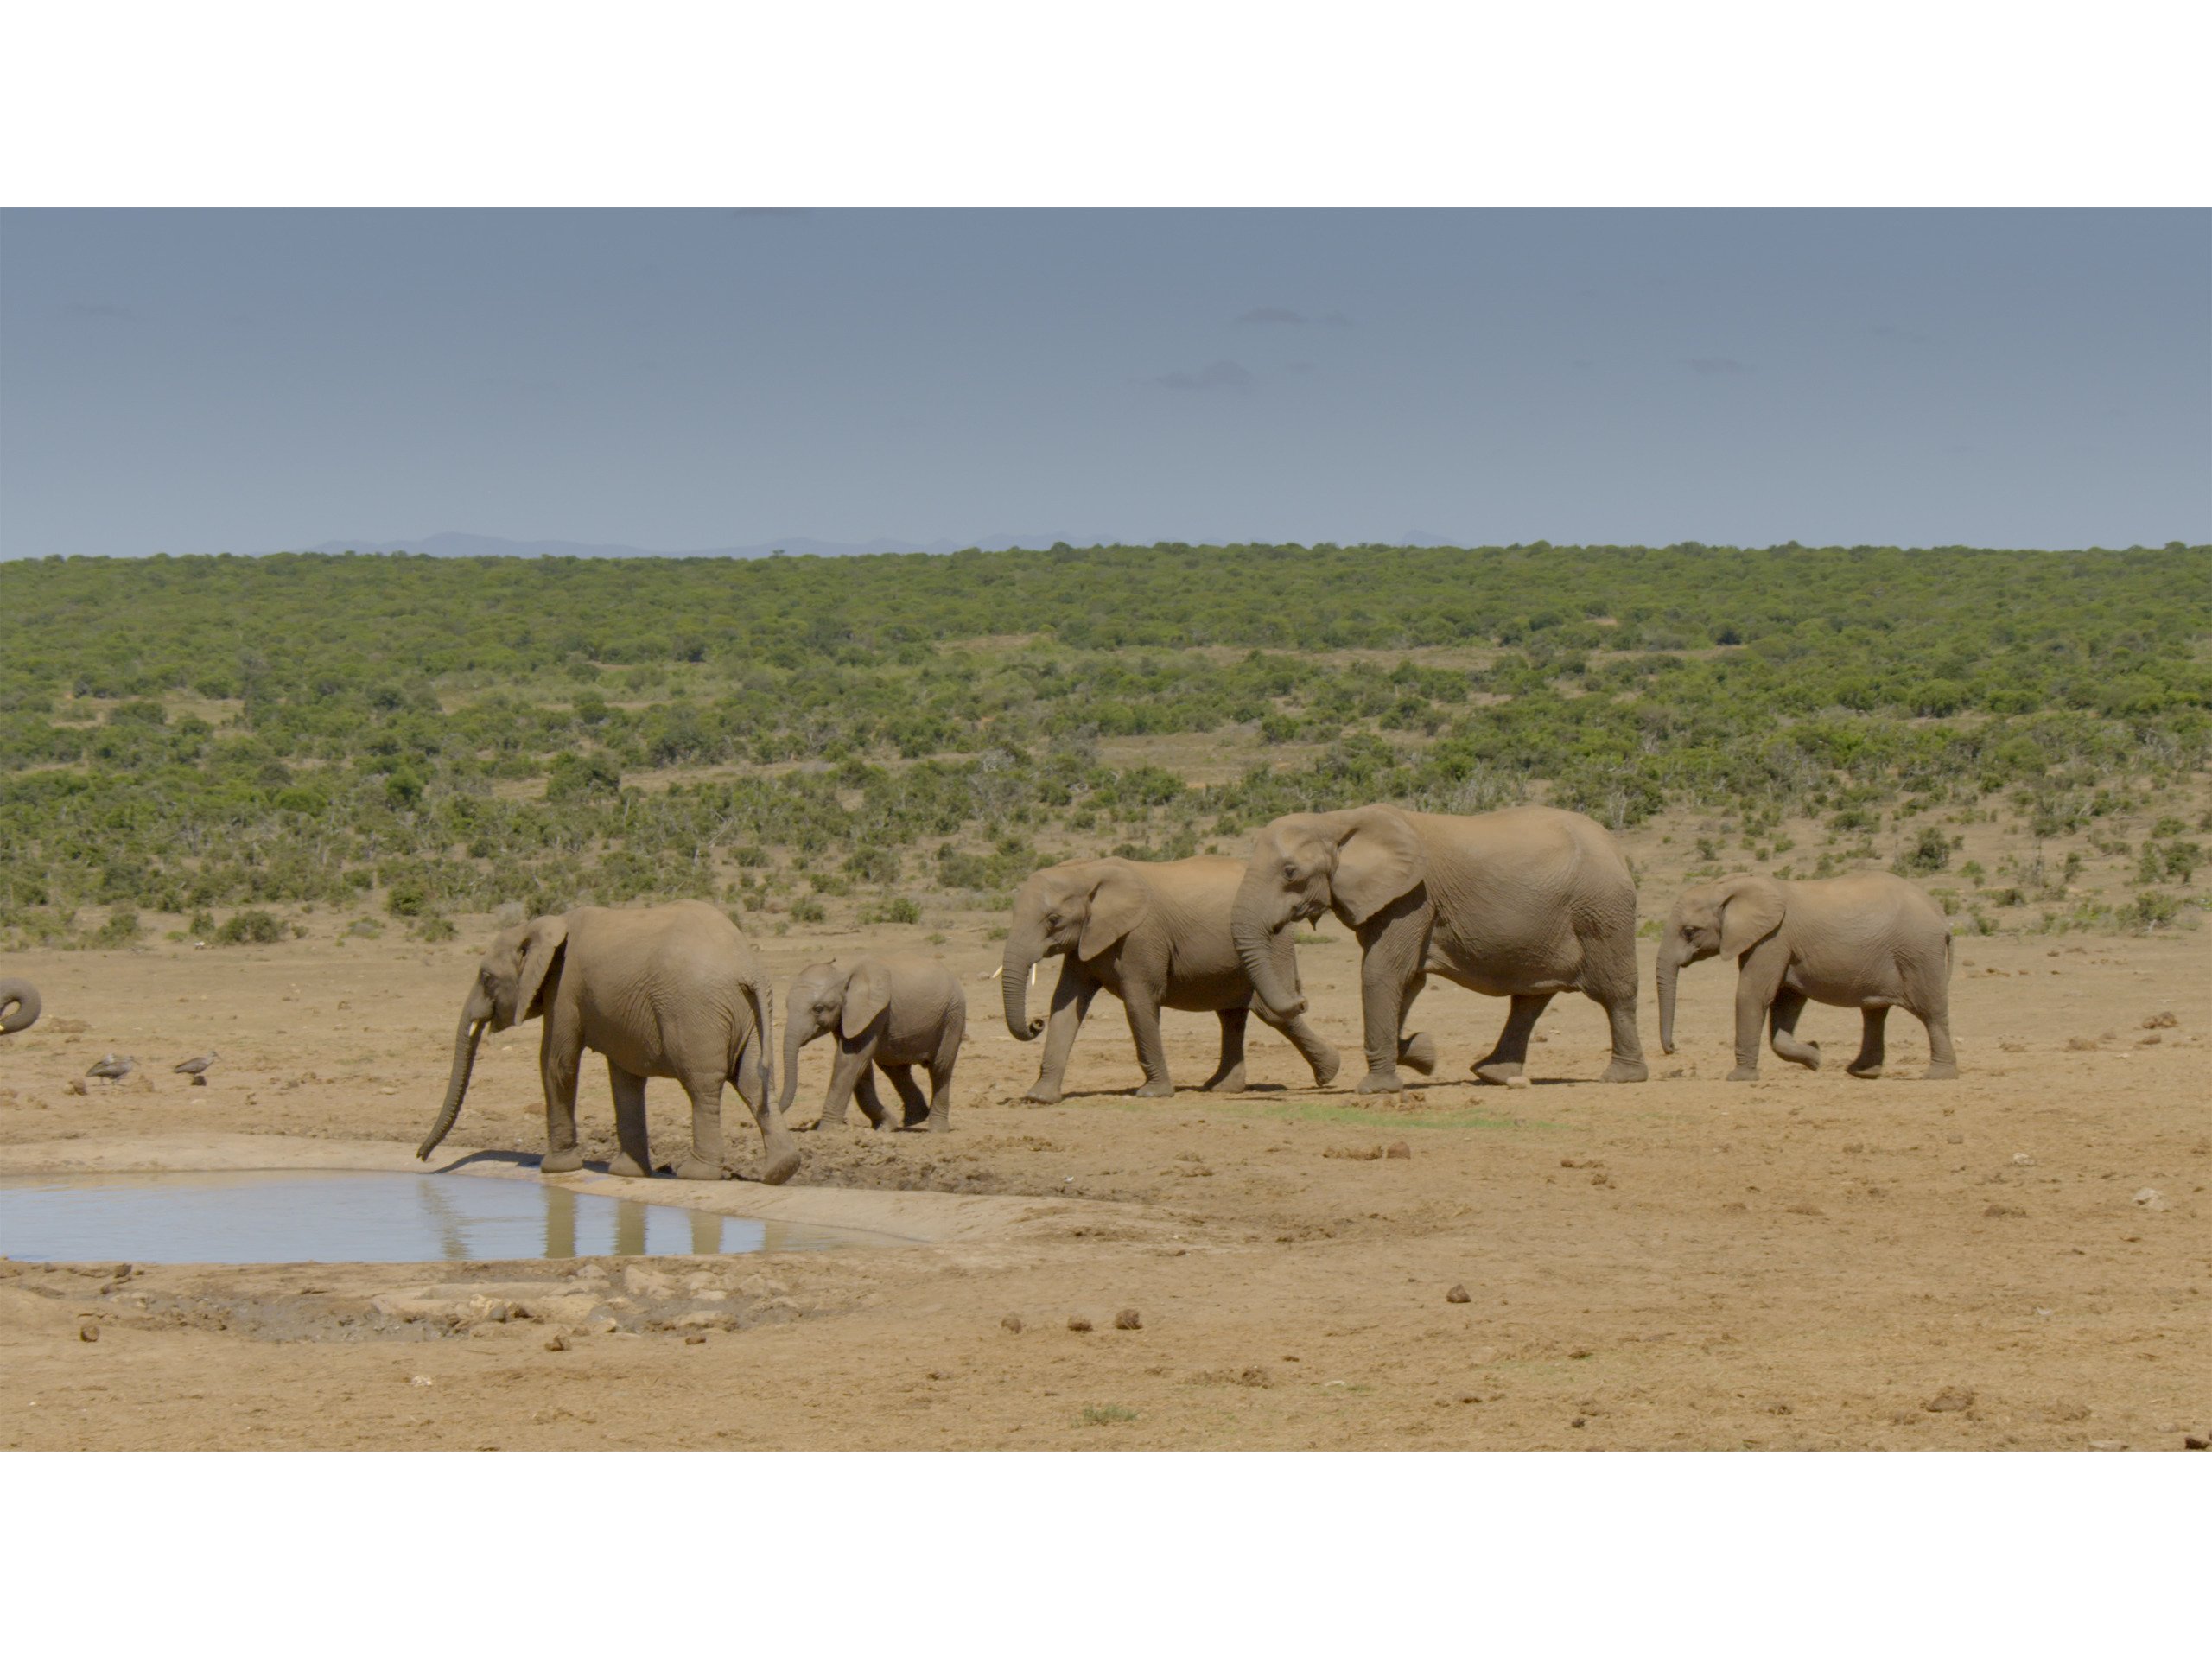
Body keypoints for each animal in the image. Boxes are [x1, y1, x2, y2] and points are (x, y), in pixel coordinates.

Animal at [411, 902, 800, 1185]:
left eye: (486, 977)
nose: (421, 1157)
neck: (543, 926)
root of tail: (747, 968)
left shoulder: (565, 988)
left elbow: (556, 1063)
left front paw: (555, 1169)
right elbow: (624, 1076)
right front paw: (627, 1173)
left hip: (695, 1011)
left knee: (702, 1085)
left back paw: (697, 1174)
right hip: (748, 1013)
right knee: (753, 1081)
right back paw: (781, 1171)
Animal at [783, 955, 964, 1141]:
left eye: (818, 1009)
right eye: (787, 1006)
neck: (842, 970)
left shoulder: (875, 1011)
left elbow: (851, 1059)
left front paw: (825, 1130)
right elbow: (859, 1066)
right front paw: (885, 1126)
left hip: (952, 1016)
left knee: (940, 1069)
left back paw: (936, 1130)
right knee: (894, 1068)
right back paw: (914, 1120)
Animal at [1008, 858, 1344, 1106]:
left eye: (1053, 920)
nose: (1035, 1023)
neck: (1085, 870)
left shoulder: (1141, 938)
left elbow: (1139, 1001)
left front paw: (1152, 1094)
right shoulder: (1085, 941)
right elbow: (1065, 1005)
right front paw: (1038, 1098)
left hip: (1276, 942)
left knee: (1271, 1012)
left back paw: (1329, 1073)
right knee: (1232, 1016)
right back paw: (1221, 1088)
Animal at [1230, 800, 1645, 1096]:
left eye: (1290, 873)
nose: (1302, 1000)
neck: (1334, 821)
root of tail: (1614, 846)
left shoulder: (1413, 898)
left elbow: (1381, 972)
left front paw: (1377, 1089)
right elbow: (1408, 980)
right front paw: (1423, 1053)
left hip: (1602, 911)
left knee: (1614, 992)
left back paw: (1622, 1077)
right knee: (1530, 997)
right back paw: (1493, 1074)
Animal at [1663, 862, 1955, 1084]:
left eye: (1689, 931)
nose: (1672, 1049)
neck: (1728, 887)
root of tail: (1941, 917)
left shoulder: (1773, 939)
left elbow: (1753, 994)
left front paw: (1739, 1078)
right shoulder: (1778, 944)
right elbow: (1786, 1000)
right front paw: (1815, 1057)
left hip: (1918, 953)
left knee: (1931, 1012)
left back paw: (1937, 1075)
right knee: (1875, 1011)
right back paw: (1862, 1073)